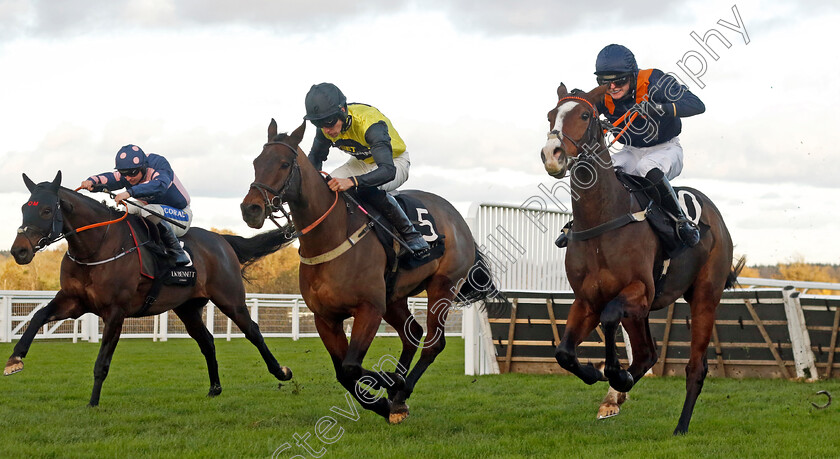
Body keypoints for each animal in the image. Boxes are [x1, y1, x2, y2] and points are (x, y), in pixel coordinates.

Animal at [6, 172, 294, 406]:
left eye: (46, 210)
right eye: (23, 207)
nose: (19, 251)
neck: (96, 247)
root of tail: (221, 240)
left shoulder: (115, 312)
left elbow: (102, 362)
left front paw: (93, 403)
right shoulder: (74, 301)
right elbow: (38, 316)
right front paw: (14, 359)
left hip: (230, 299)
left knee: (253, 331)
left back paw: (281, 371)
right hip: (188, 308)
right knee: (207, 341)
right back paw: (214, 389)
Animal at [240, 119, 496, 424]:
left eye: (284, 163)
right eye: (256, 162)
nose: (250, 209)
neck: (330, 237)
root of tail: (458, 218)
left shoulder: (369, 309)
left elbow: (351, 366)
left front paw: (390, 384)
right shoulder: (325, 318)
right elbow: (343, 372)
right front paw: (383, 401)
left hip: (442, 287)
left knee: (434, 343)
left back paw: (401, 389)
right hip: (394, 296)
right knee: (412, 333)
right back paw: (397, 399)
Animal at [540, 83, 744, 434]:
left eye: (584, 115)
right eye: (552, 115)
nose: (552, 154)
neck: (602, 220)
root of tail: (715, 217)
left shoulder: (639, 291)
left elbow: (610, 318)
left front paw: (613, 373)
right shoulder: (587, 299)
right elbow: (564, 352)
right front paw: (598, 376)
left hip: (705, 296)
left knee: (695, 366)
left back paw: (680, 426)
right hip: (643, 312)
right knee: (647, 354)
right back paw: (615, 395)